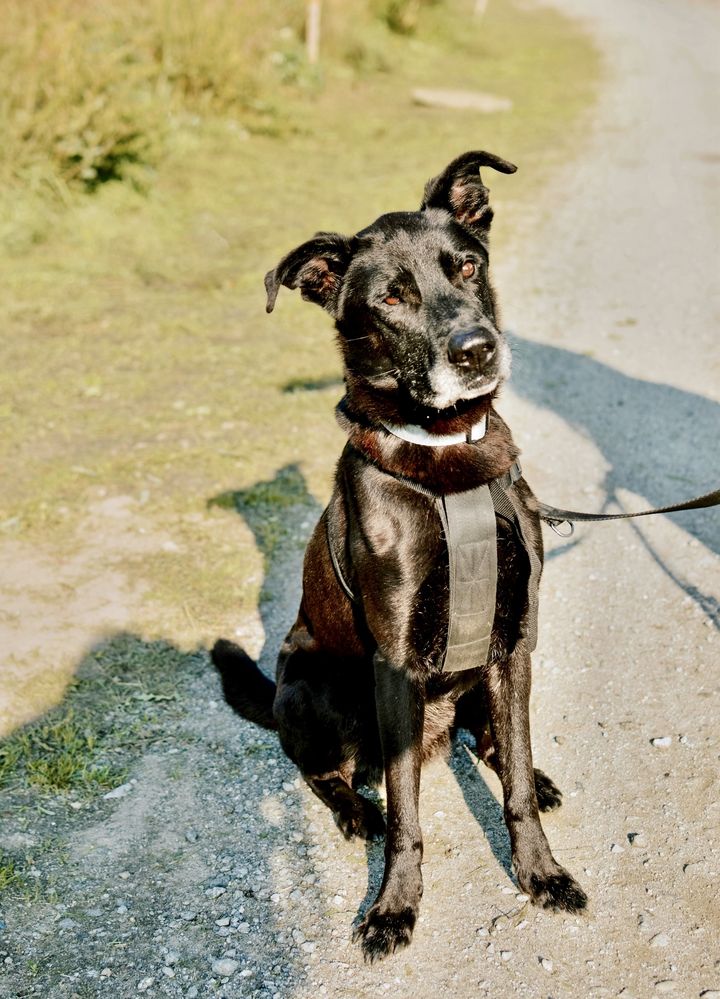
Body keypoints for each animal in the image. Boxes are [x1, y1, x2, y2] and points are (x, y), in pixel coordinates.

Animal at [211, 154, 588, 960]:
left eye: (468, 266)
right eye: (391, 296)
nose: (478, 350)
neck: (447, 458)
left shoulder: (515, 641)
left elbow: (511, 781)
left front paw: (541, 871)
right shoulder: (395, 663)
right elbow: (409, 815)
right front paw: (393, 907)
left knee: (493, 739)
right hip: (320, 688)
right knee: (326, 770)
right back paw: (358, 810)